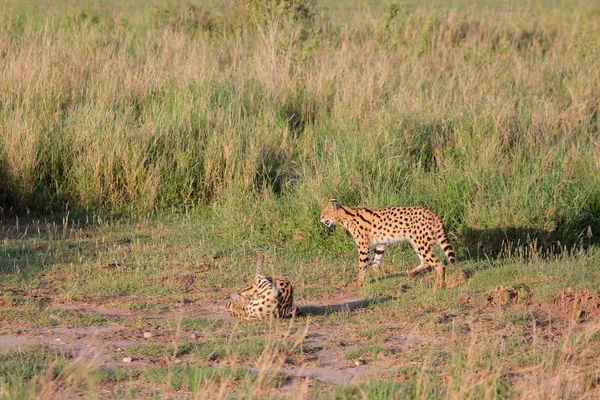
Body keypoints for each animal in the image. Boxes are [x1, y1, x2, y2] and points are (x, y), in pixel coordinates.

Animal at [318, 199, 454, 288]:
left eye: (324, 214)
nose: (321, 219)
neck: (347, 216)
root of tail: (432, 213)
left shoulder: (363, 247)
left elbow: (362, 265)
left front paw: (359, 282)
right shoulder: (381, 243)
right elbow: (375, 264)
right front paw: (386, 273)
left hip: (421, 243)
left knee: (439, 264)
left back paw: (441, 285)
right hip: (418, 243)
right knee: (426, 261)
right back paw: (412, 272)